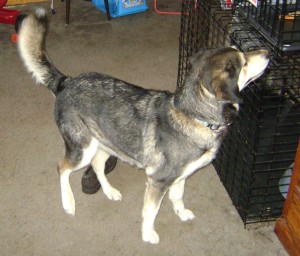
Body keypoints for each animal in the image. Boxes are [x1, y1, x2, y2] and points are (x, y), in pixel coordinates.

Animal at [17, 8, 270, 244]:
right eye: (243, 62)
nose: (267, 52)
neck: (195, 115)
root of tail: (66, 81)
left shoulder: (180, 177)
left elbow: (178, 197)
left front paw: (181, 213)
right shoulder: (158, 181)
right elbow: (151, 212)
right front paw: (148, 234)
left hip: (105, 144)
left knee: (97, 165)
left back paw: (110, 191)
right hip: (82, 149)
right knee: (62, 168)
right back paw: (68, 203)